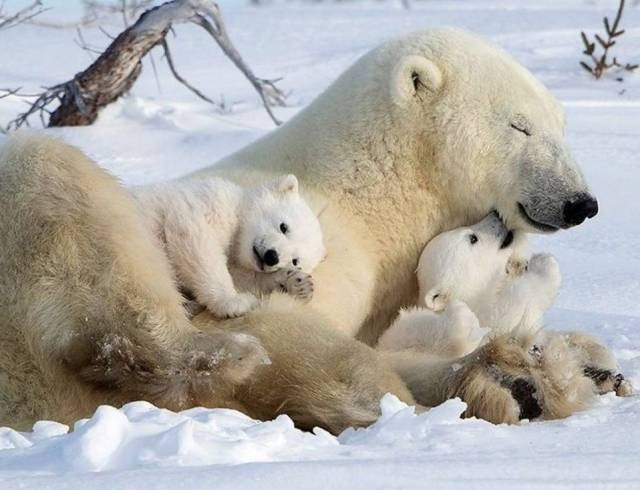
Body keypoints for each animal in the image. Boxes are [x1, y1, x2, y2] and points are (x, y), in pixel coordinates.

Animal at [131, 174, 322, 320]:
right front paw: (234, 303)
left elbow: (241, 276)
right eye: (284, 227)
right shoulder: (209, 201)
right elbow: (196, 239)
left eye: (295, 260)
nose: (271, 256)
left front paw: (299, 283)